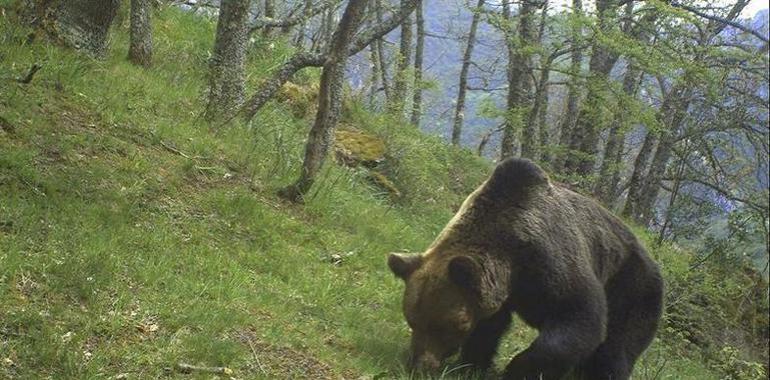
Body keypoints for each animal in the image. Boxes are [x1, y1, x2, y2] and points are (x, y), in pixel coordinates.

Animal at [388, 158, 664, 380]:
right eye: (412, 320)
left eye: (447, 325)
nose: (421, 364)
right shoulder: (500, 289)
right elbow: (490, 327)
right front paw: (472, 365)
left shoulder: (551, 263)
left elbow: (579, 317)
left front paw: (516, 370)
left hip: (633, 288)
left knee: (616, 349)